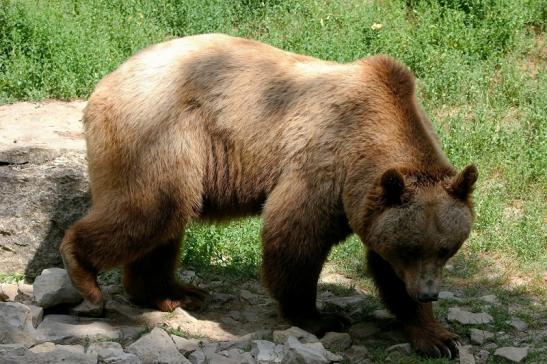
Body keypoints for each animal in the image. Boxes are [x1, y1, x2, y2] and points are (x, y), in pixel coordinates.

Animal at [61, 34, 480, 358]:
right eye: (411, 248)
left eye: (446, 248)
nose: (429, 294)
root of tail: (108, 78)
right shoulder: (326, 162)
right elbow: (295, 234)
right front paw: (319, 316)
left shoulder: (371, 198)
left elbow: (384, 266)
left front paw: (437, 337)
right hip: (159, 134)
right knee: (151, 210)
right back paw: (87, 276)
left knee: (164, 225)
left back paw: (171, 293)